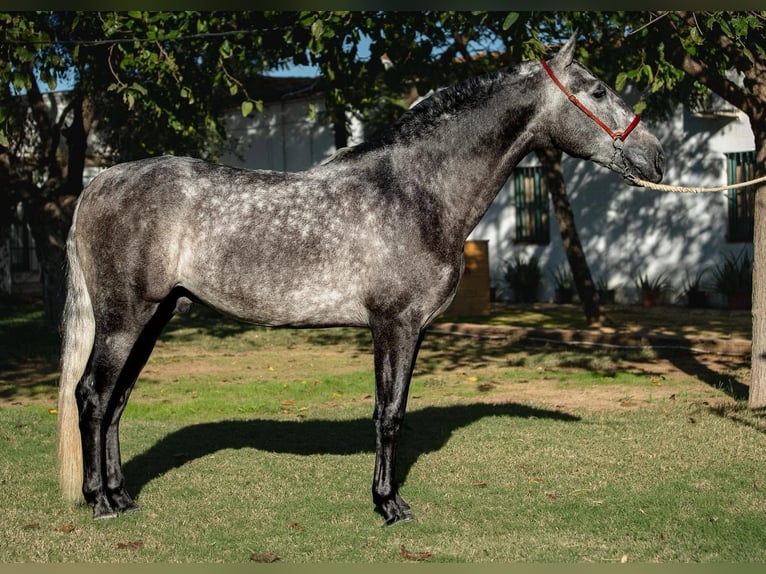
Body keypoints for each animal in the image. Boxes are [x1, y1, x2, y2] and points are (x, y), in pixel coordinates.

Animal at [56, 33, 664, 526]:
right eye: (597, 90)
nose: (656, 157)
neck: (416, 191)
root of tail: (100, 182)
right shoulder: (395, 324)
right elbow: (388, 414)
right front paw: (389, 504)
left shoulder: (407, 329)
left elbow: (392, 411)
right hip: (124, 319)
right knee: (93, 396)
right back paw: (99, 501)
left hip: (154, 317)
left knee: (117, 401)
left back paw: (123, 495)